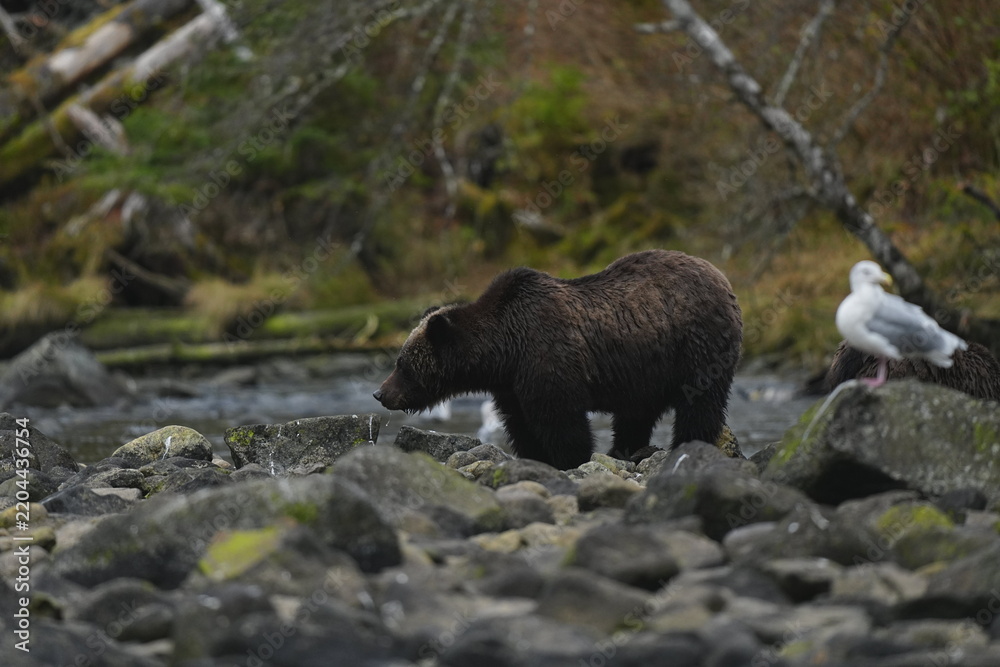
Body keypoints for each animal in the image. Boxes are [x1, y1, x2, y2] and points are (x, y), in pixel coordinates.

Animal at [373, 249, 743, 469]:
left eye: (403, 363)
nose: (380, 393)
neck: (504, 349)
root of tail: (721, 276)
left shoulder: (548, 359)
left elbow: (561, 421)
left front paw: (570, 460)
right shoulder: (511, 384)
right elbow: (521, 424)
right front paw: (535, 458)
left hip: (696, 345)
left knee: (700, 402)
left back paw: (687, 444)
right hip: (649, 368)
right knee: (637, 413)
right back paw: (624, 451)